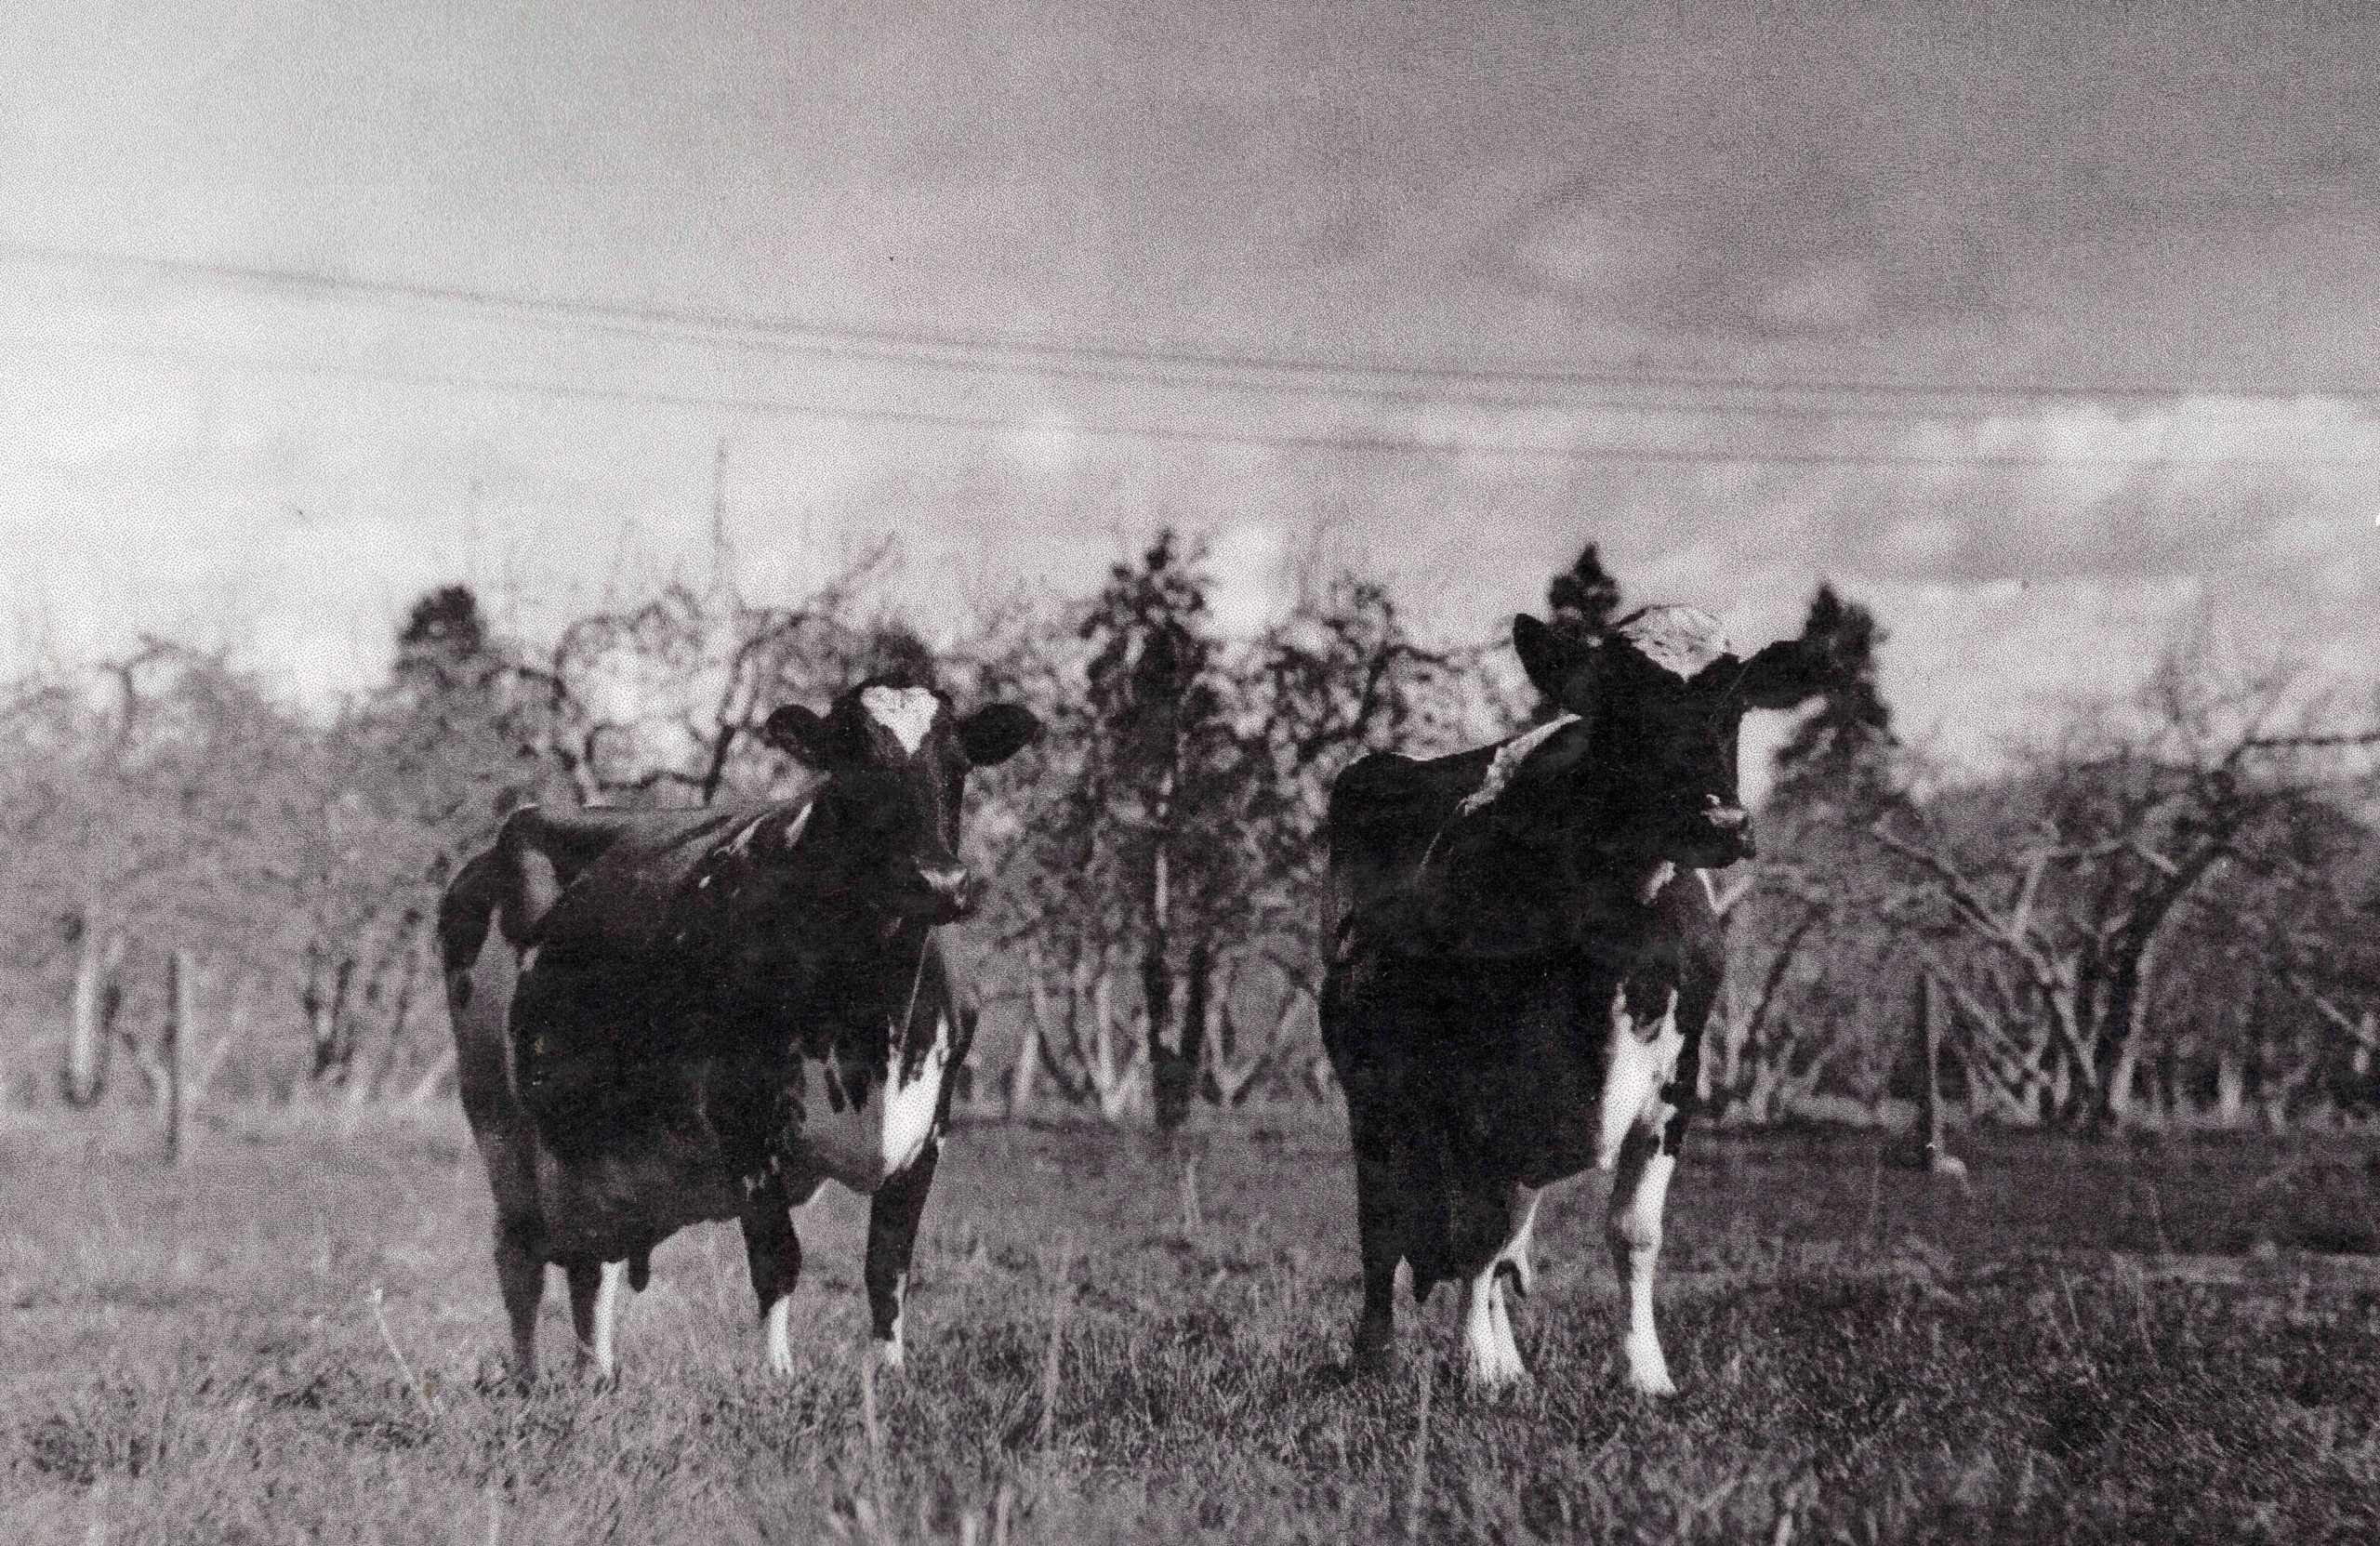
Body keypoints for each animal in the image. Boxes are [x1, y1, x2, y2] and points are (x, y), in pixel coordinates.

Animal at [443, 670, 1038, 1369]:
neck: (876, 1025)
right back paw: (529, 1379)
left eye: (959, 765)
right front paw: (778, 1376)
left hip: (593, 1153)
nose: (939, 879)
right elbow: (777, 1260)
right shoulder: (745, 1120)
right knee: (520, 1257)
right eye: (851, 764)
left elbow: (888, 1266)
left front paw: (889, 1374)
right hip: (499, 1123)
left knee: (593, 1267)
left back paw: (598, 1376)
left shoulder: (929, 1128)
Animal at [1314, 601, 1828, 1389]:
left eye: (1737, 702)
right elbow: (1475, 1234)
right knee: (1386, 1225)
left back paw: (1511, 1359)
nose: (1721, 823)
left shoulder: (1676, 1079)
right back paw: (1378, 1355)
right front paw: (1476, 1367)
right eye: (1620, 706)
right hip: (1375, 1097)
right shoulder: (1476, 1090)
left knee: (1501, 1237)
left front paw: (1643, 1370)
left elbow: (1631, 1232)